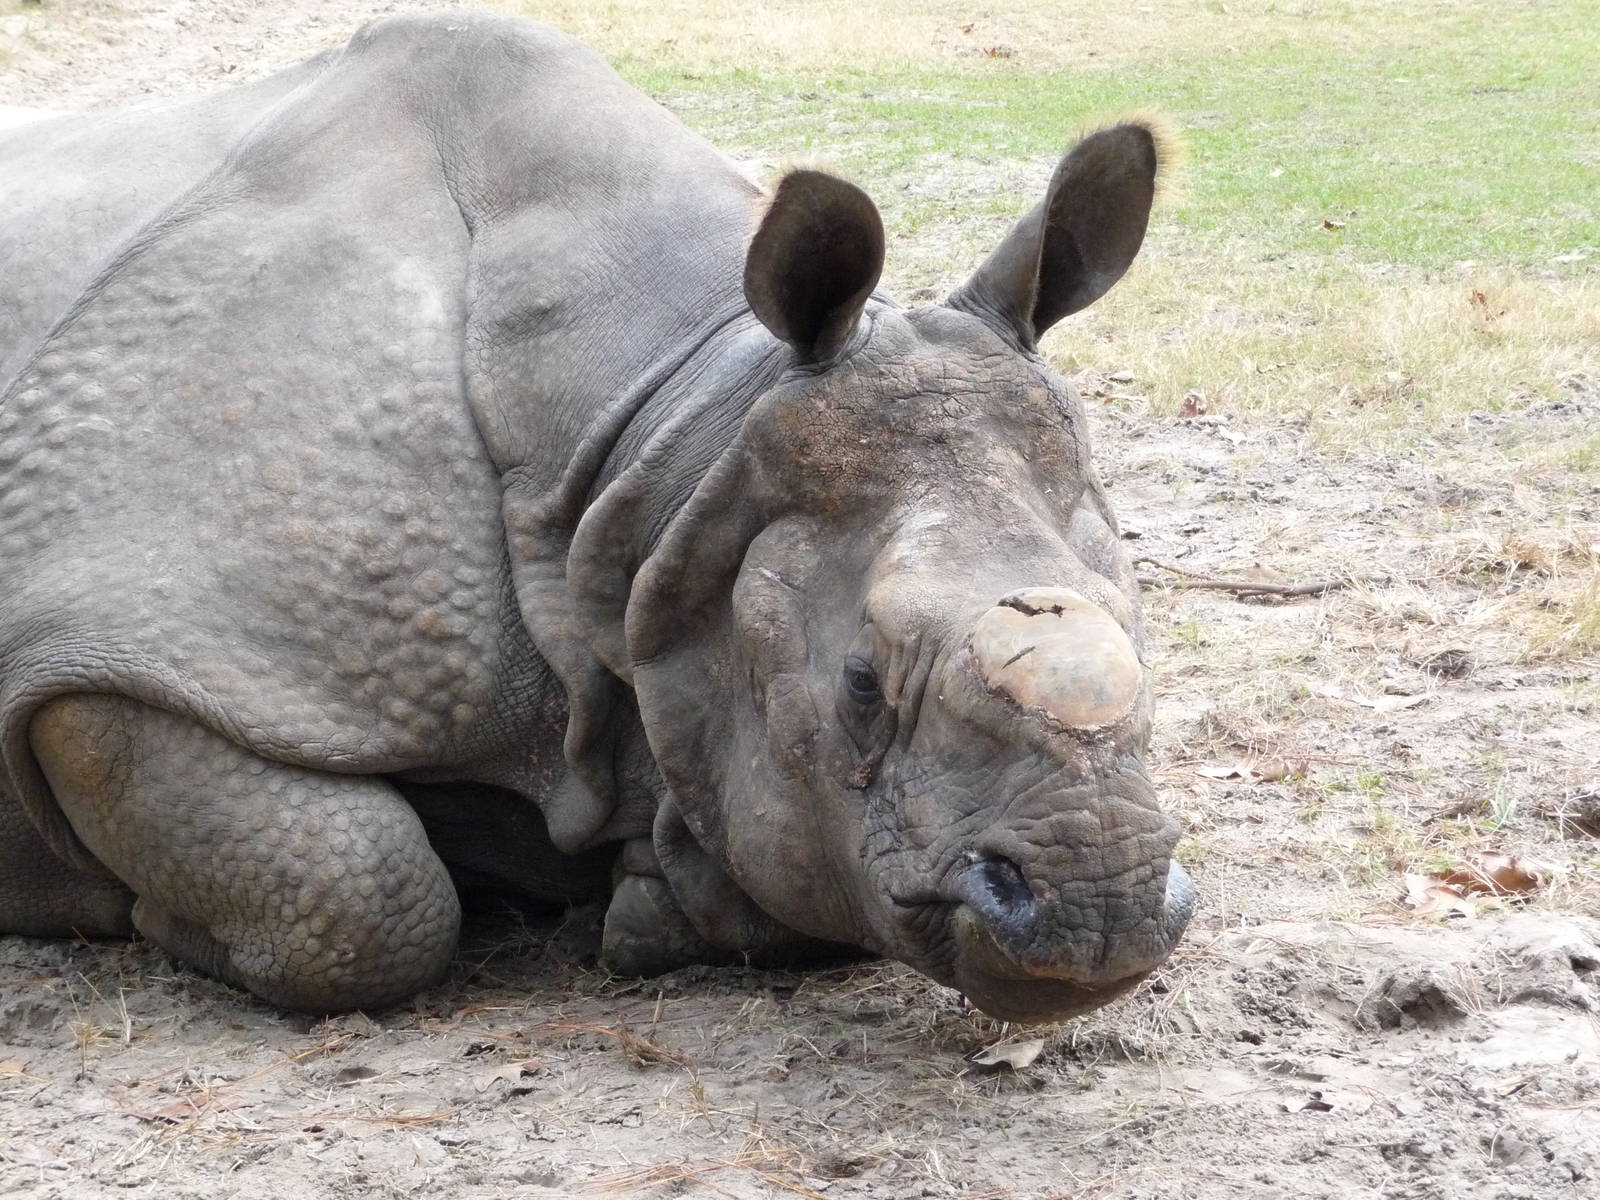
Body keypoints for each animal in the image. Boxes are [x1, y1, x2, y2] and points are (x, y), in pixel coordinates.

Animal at [0, 13, 1191, 1021]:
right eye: (860, 684)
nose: (1102, 907)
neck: (669, 431)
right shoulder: (124, 635)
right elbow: (362, 895)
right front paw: (143, 917)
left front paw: (642, 900)